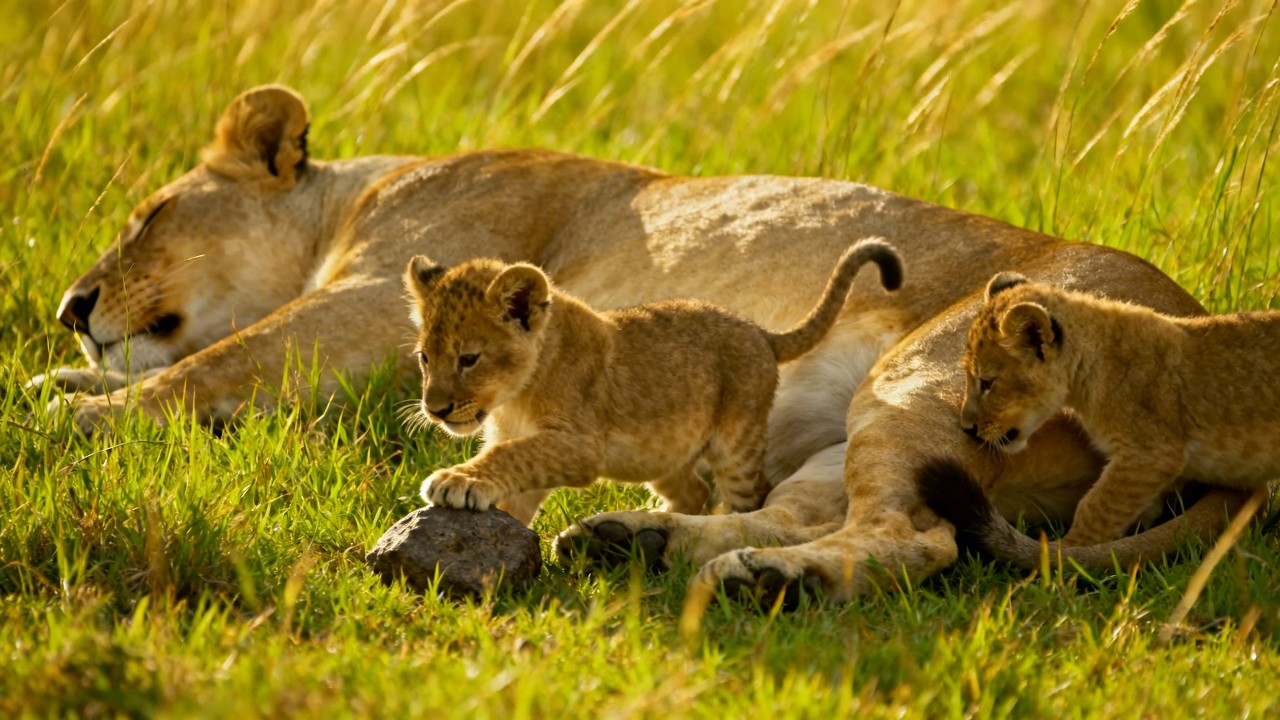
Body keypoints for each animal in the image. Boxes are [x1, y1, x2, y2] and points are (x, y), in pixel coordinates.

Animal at [403, 241, 902, 524]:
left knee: (749, 498)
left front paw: (457, 479)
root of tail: (759, 331)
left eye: (469, 359)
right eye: (425, 358)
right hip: (663, 456)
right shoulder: (529, 439)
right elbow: (518, 481)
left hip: (737, 445)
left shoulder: (579, 445)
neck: (515, 396)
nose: (434, 410)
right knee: (696, 492)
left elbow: (510, 457)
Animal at [916, 272, 1278, 569]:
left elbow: (1095, 508)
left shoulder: (1151, 455)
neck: (1088, 369)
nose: (967, 427)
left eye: (987, 382)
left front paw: (1064, 560)